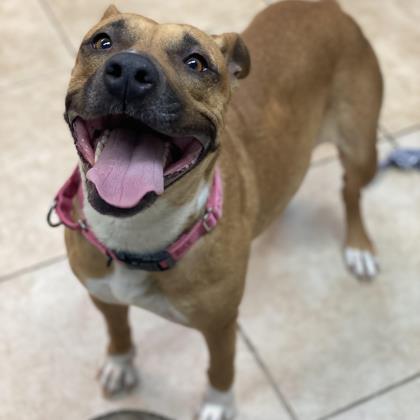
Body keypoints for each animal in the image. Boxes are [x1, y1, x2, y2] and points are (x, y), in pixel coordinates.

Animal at [57, 1, 382, 418]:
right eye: (102, 41)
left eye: (196, 62)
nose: (130, 70)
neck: (137, 238)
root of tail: (326, 8)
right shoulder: (103, 295)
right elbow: (118, 328)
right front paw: (120, 361)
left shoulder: (221, 325)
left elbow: (221, 367)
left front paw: (217, 403)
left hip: (362, 150)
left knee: (351, 193)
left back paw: (359, 247)